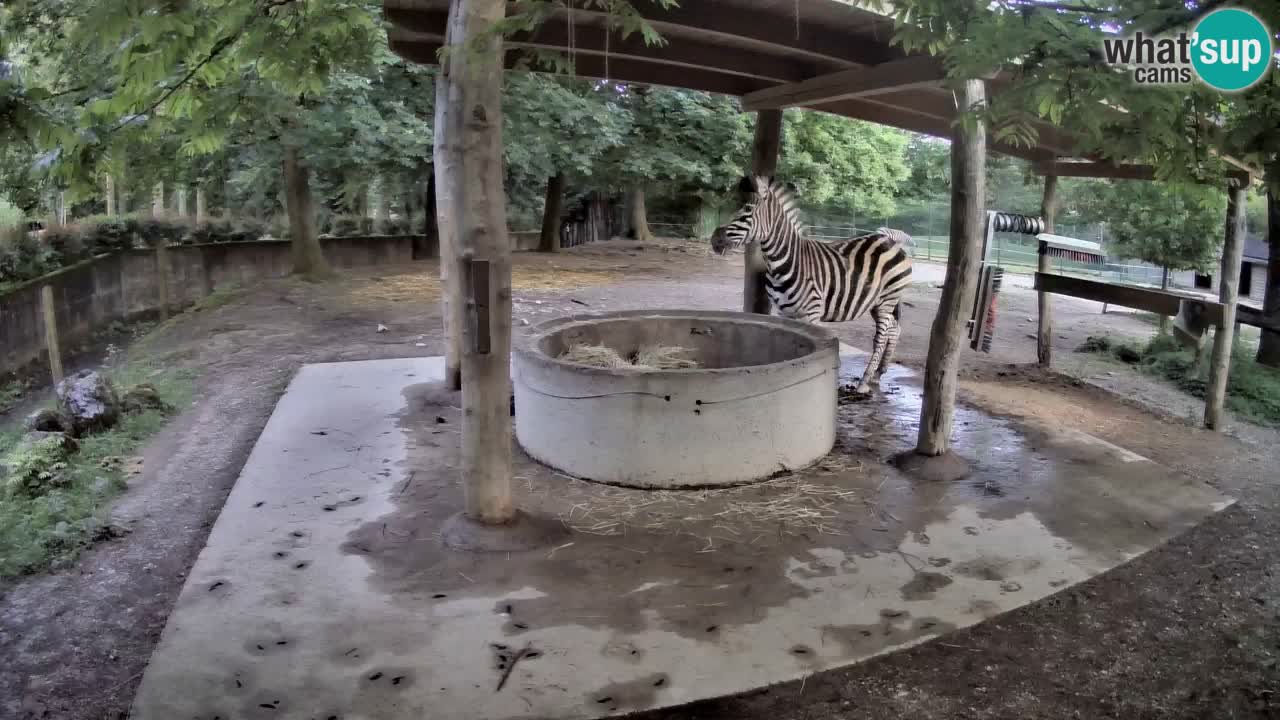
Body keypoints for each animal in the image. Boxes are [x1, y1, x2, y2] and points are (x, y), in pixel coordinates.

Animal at [710, 175, 913, 394]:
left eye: (747, 210)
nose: (714, 240)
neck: (783, 262)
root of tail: (890, 240)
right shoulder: (785, 312)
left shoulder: (812, 313)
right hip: (878, 302)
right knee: (894, 328)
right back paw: (878, 373)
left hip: (887, 299)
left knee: (881, 336)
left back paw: (865, 381)